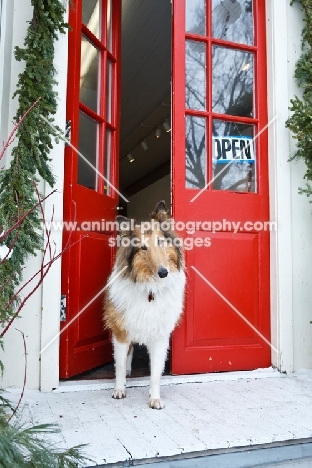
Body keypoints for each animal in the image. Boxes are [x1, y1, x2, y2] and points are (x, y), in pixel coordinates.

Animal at [103, 201, 185, 410]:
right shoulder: (121, 331)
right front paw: (119, 389)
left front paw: (154, 398)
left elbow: (155, 372)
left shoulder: (160, 335)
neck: (150, 288)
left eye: (160, 242)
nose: (163, 273)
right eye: (142, 248)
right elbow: (120, 365)